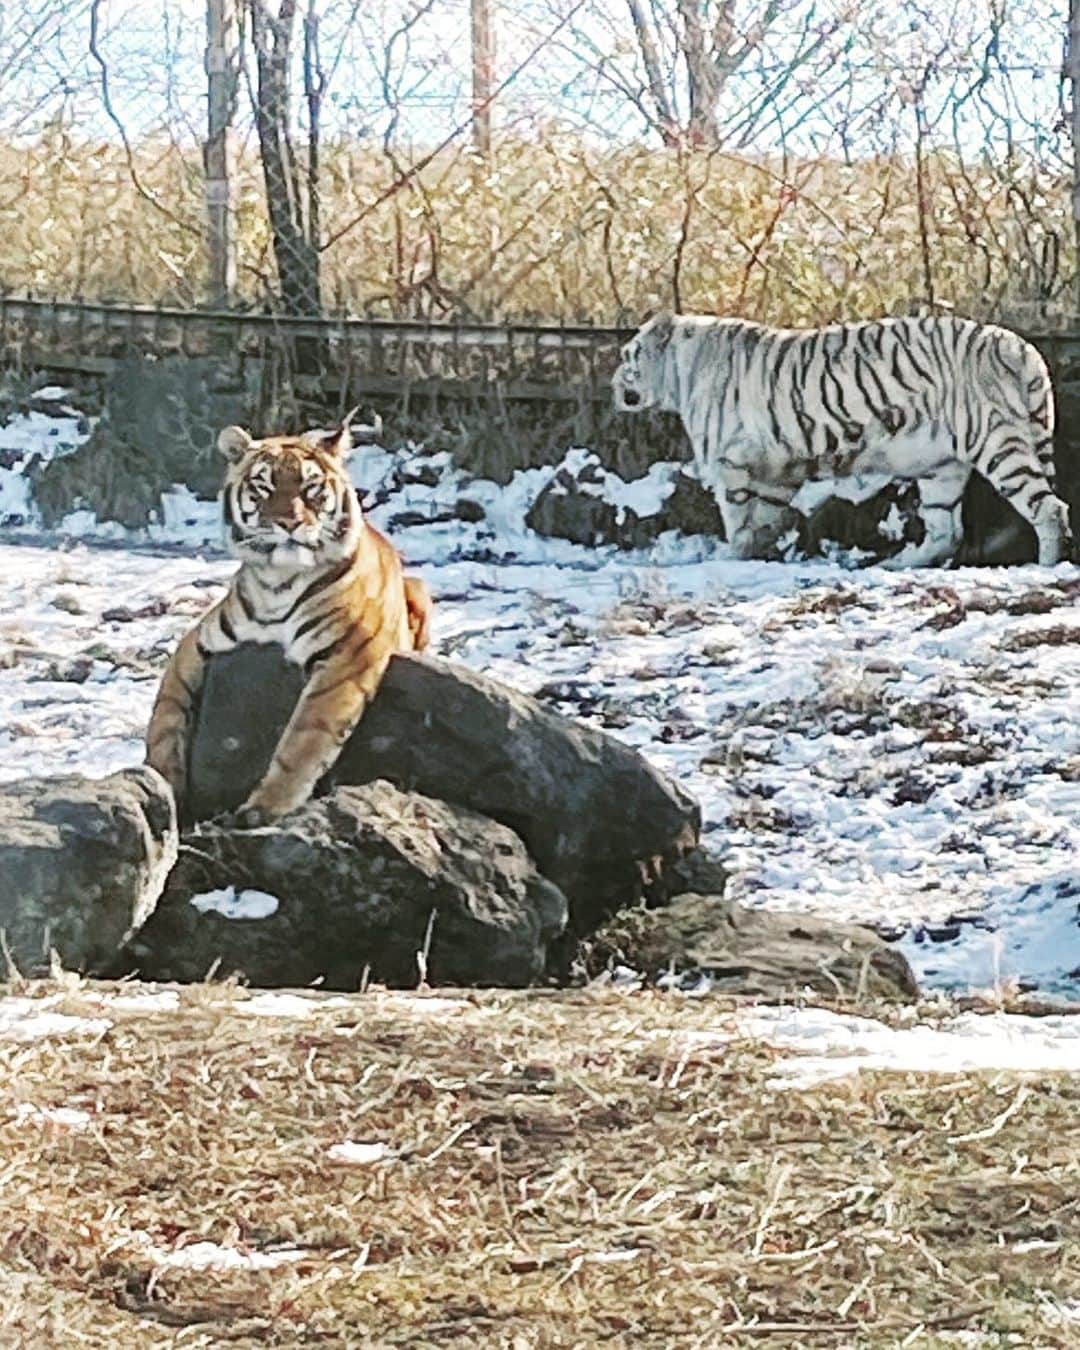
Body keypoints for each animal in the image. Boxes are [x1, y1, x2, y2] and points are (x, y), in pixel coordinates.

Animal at [145, 409, 432, 824]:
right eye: (263, 486)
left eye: (311, 488)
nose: (289, 522)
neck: (276, 581)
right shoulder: (197, 641)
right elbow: (164, 714)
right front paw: (161, 783)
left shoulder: (347, 655)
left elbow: (304, 737)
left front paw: (265, 807)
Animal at [612, 312, 1071, 568]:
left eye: (628, 357)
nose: (615, 384)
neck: (678, 373)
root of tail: (1021, 347)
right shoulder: (773, 472)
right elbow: (764, 522)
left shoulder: (731, 464)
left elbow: (738, 520)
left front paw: (729, 556)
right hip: (942, 468)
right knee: (946, 532)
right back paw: (899, 563)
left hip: (996, 441)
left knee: (1049, 508)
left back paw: (1046, 565)